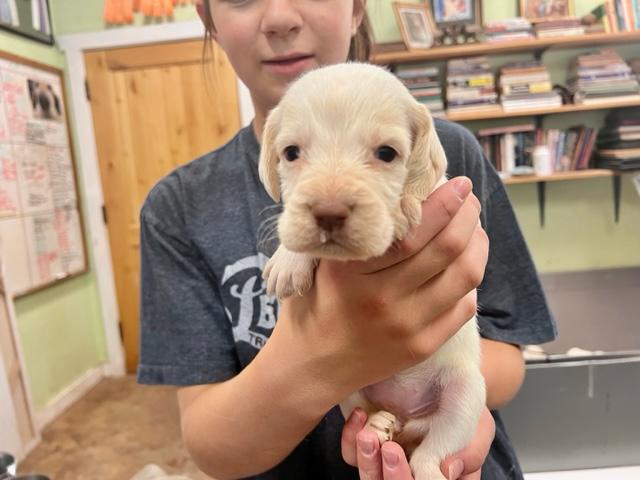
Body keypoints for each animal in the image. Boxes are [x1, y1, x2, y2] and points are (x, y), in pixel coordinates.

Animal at [259, 62, 485, 480]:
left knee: (430, 453)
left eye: (386, 153)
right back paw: (378, 424)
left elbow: (422, 190)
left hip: (467, 396)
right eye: (291, 153)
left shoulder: (448, 196)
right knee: (368, 413)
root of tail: (409, 420)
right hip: (343, 387)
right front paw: (288, 259)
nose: (329, 212)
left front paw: (404, 206)